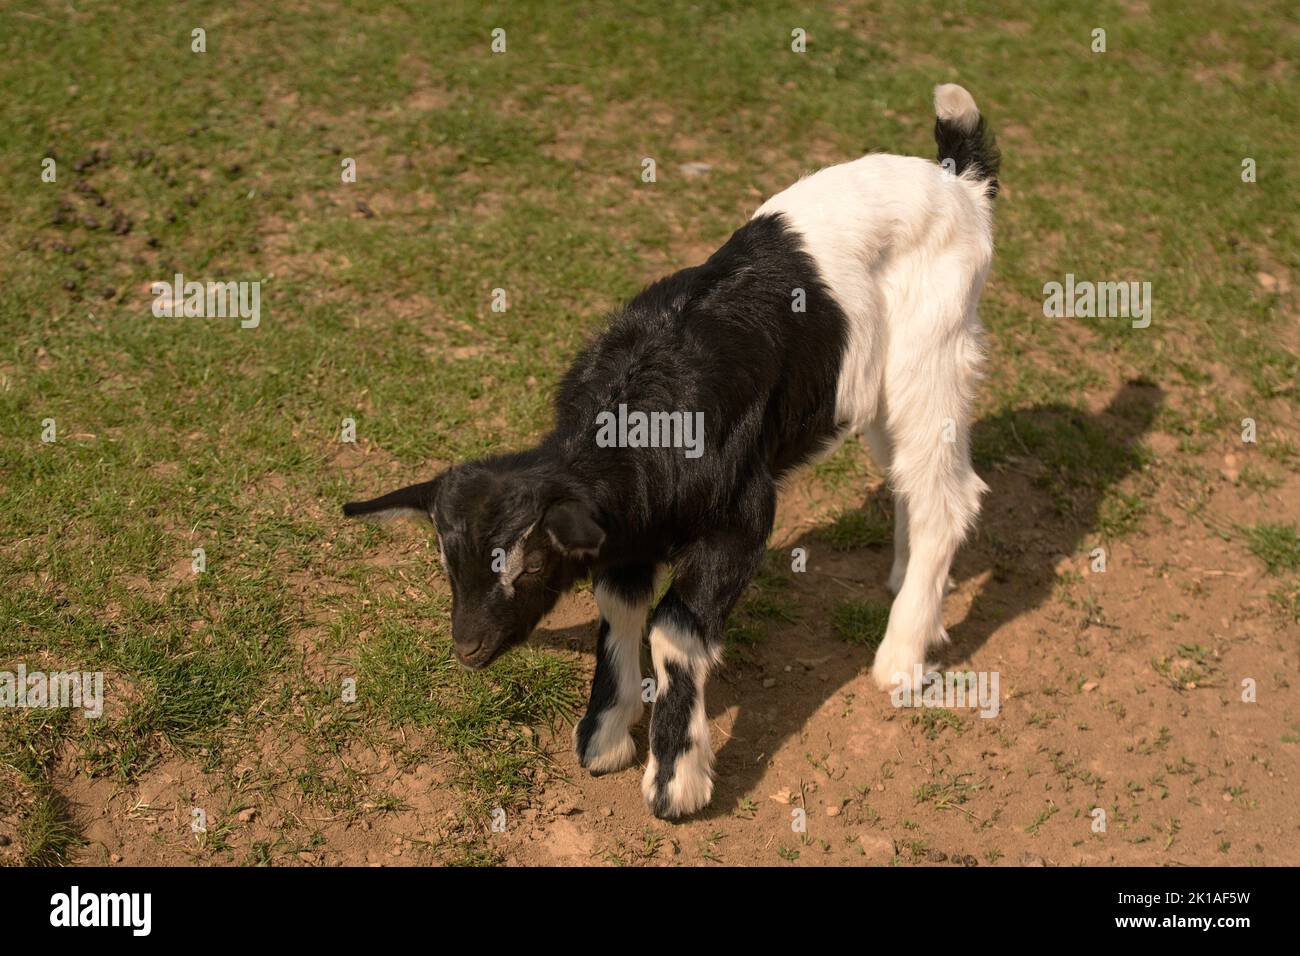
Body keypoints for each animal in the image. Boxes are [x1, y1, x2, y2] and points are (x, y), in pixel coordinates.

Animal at [340, 82, 998, 816]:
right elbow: (621, 609)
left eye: (531, 564)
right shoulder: (625, 525)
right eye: (446, 563)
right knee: (915, 483)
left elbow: (673, 629)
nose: (468, 647)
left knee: (949, 495)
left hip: (932, 355)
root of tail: (959, 178)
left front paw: (675, 779)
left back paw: (902, 657)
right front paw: (604, 736)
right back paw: (910, 589)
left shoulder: (741, 515)